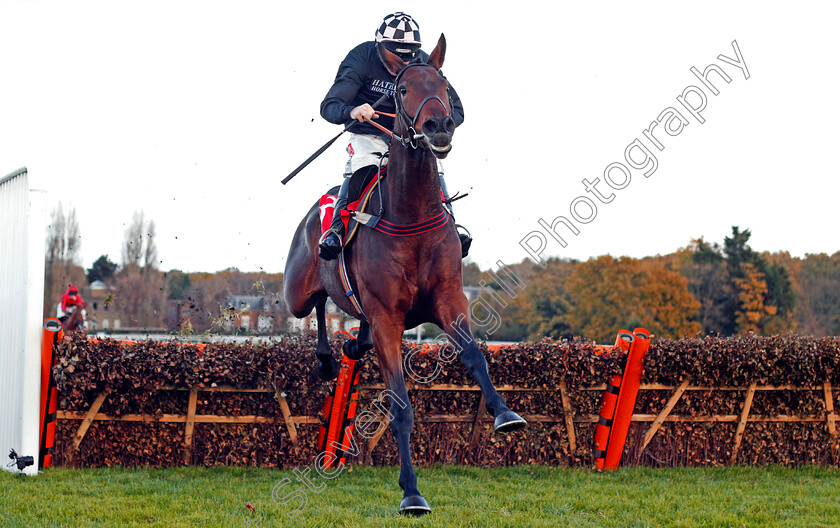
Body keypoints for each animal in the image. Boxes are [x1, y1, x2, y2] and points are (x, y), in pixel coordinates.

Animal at [286, 34, 528, 516]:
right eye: (400, 89)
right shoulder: (388, 319)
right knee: (317, 303)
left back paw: (347, 347)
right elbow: (399, 408)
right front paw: (411, 491)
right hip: (295, 292)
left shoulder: (450, 300)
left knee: (348, 327)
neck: (410, 215)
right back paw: (325, 358)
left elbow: (475, 356)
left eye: (444, 84)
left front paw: (506, 414)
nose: (438, 125)